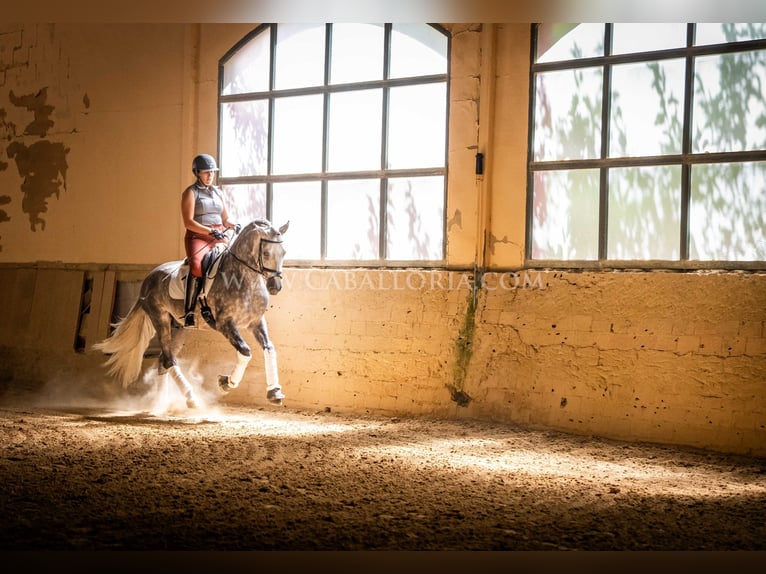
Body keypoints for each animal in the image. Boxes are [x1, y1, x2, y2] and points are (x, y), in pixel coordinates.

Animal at [92, 218, 292, 412]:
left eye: (284, 252)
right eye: (266, 253)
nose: (275, 287)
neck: (243, 278)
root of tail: (149, 278)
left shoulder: (256, 322)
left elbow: (269, 348)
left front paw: (274, 392)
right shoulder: (225, 324)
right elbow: (245, 351)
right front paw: (226, 383)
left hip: (180, 327)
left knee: (163, 360)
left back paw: (160, 404)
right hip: (160, 320)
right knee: (169, 359)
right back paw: (190, 398)